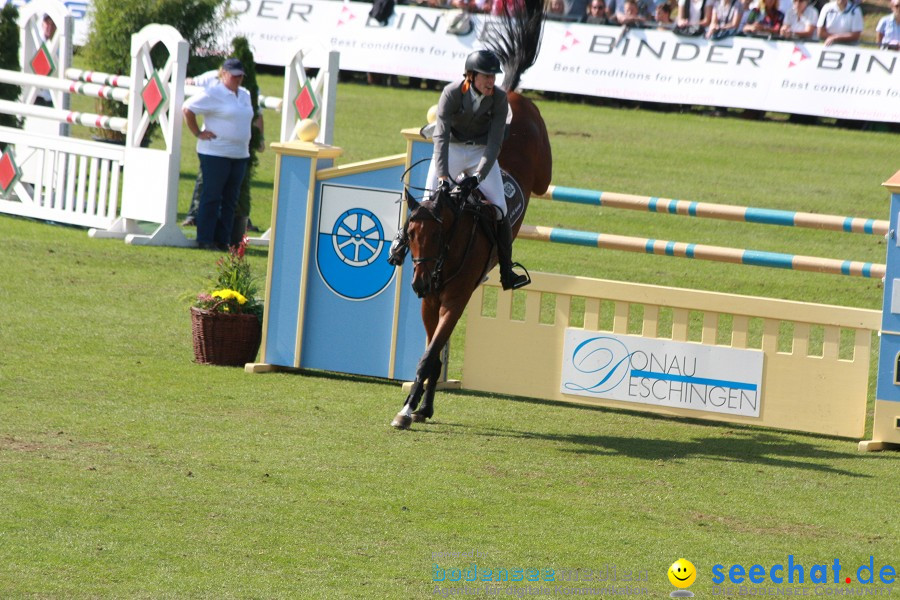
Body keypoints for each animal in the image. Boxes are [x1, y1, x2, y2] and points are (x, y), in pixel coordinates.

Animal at [390, 0, 552, 428]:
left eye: (440, 234)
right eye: (410, 234)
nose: (419, 282)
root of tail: (509, 91)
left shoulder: (455, 296)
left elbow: (430, 355)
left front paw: (408, 410)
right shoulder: (433, 301)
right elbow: (433, 352)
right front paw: (416, 407)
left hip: (541, 171)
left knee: (542, 179)